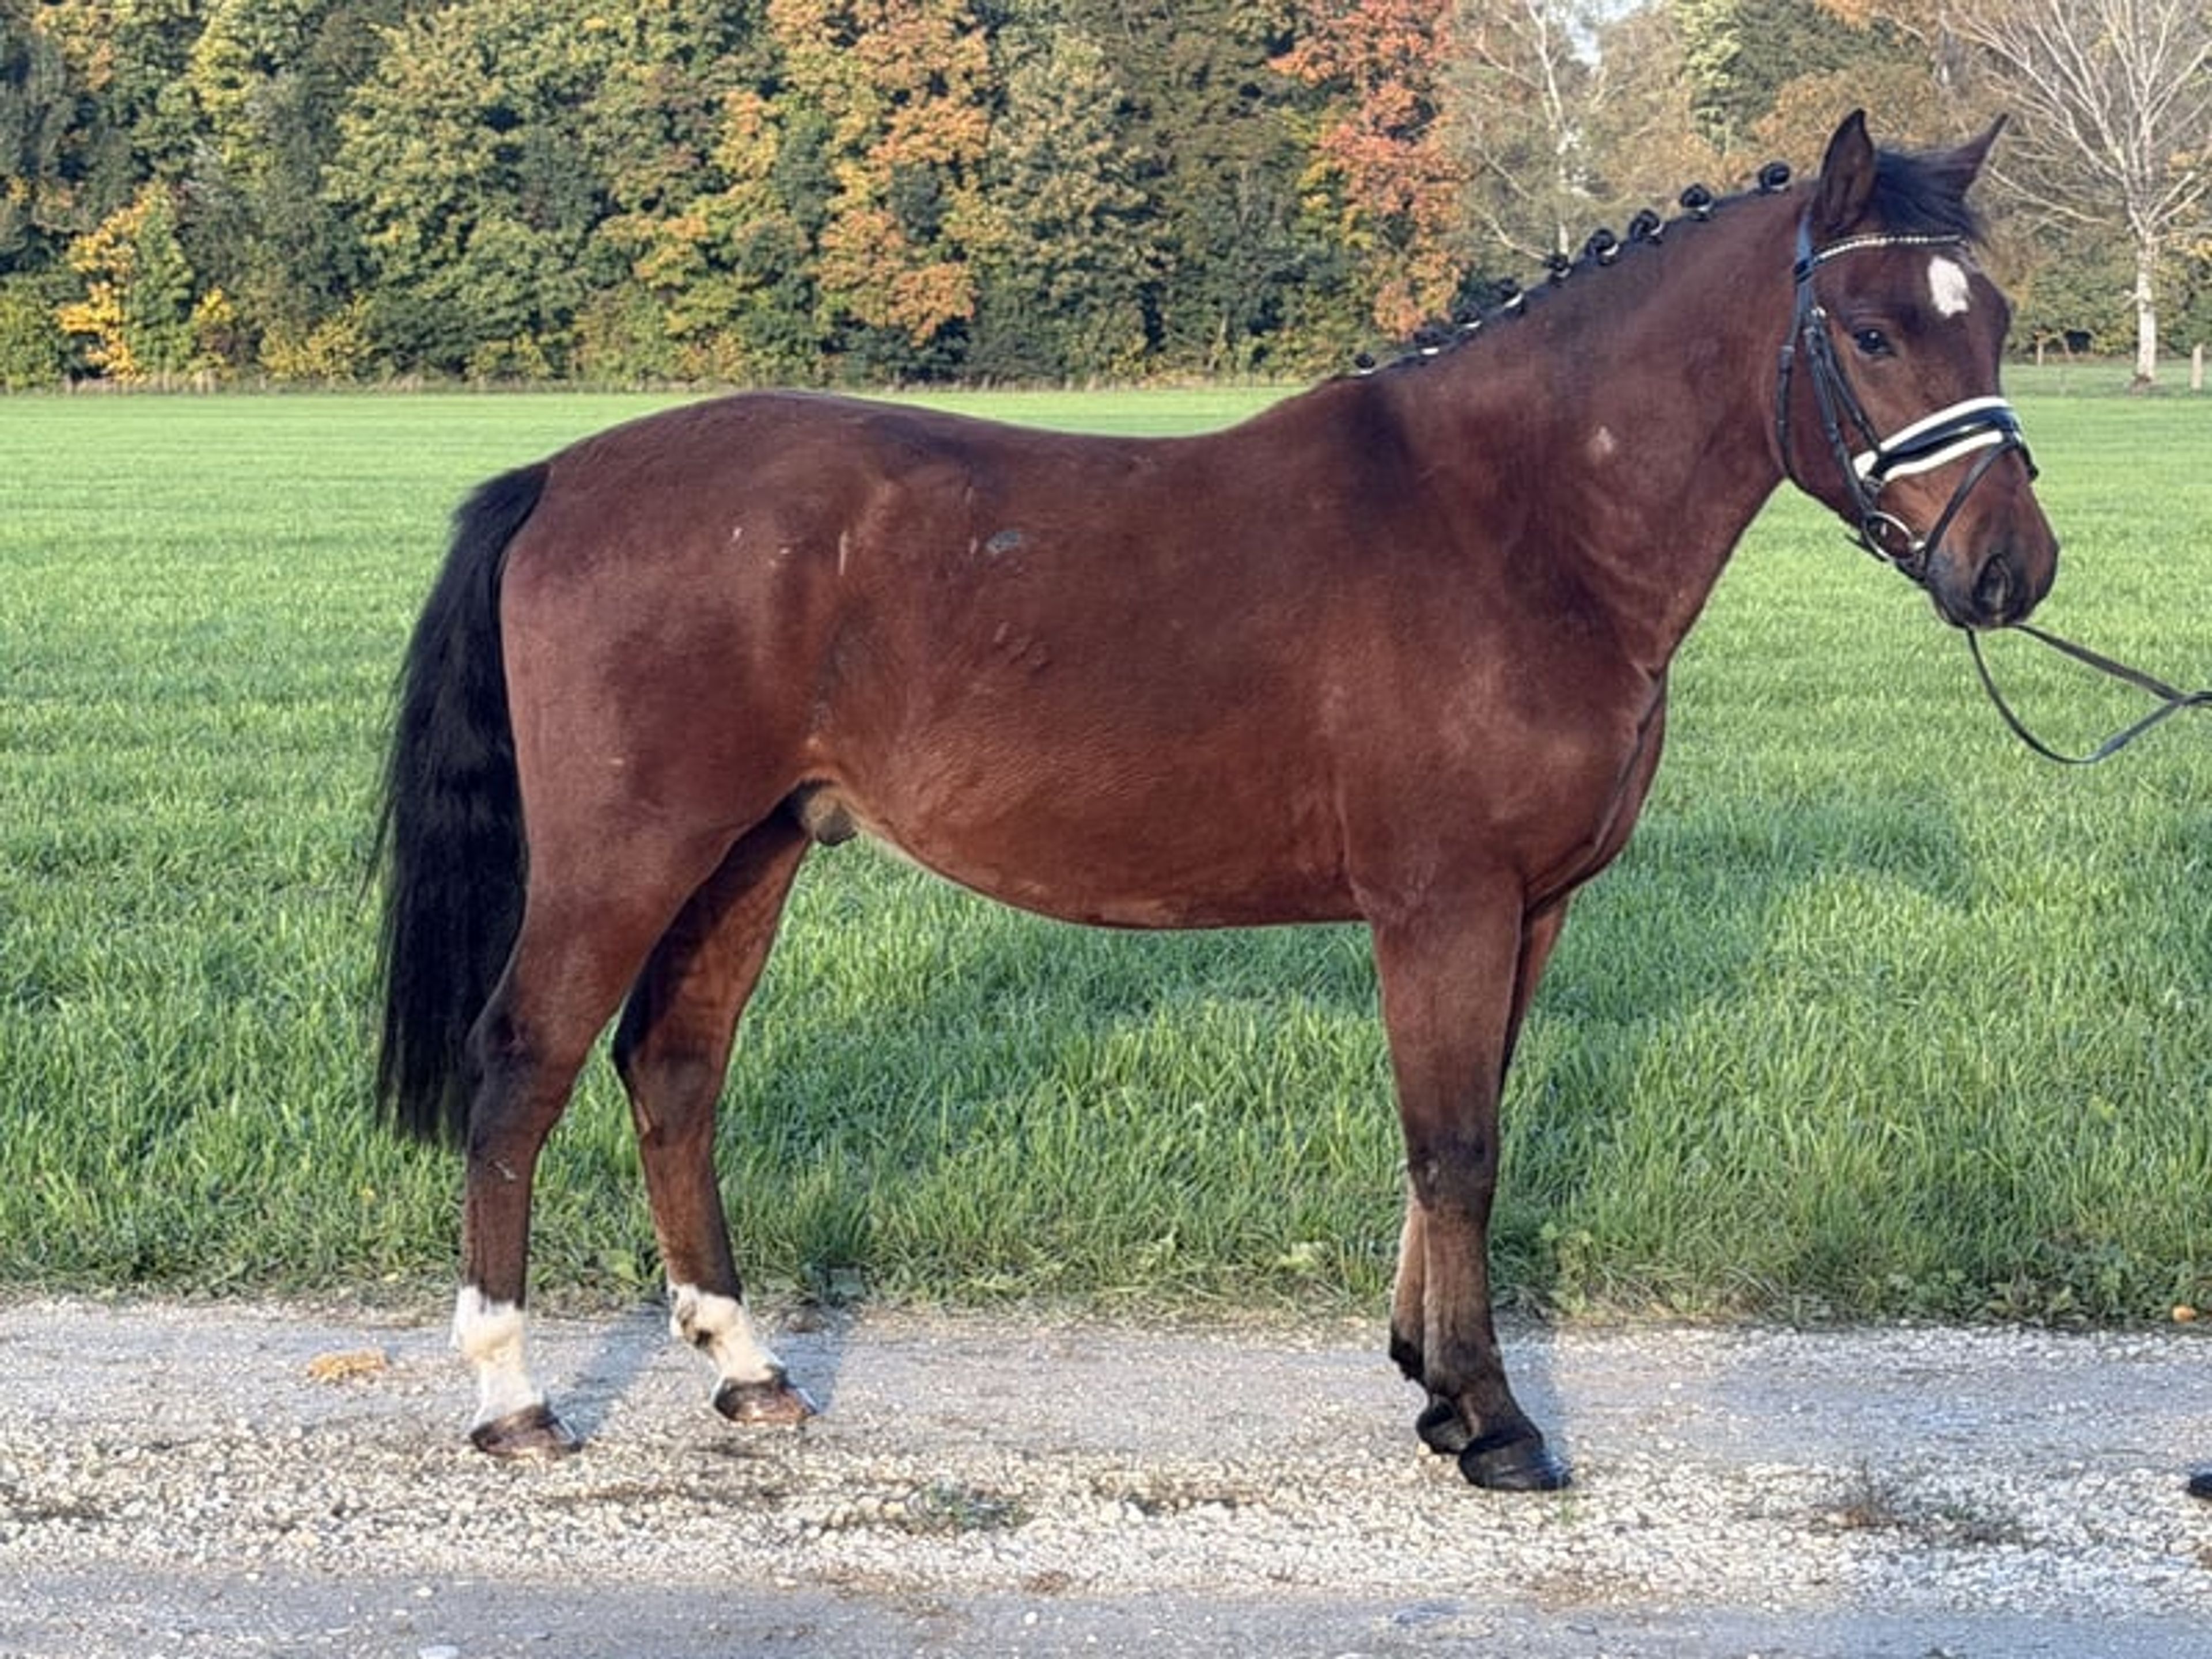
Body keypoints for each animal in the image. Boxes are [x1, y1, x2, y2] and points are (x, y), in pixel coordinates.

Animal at [375, 111, 2057, 1490]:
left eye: (1995, 320)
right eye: (1870, 327)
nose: (2011, 568)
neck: (1515, 523)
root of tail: (562, 477)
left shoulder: (1528, 909)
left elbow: (1463, 1131)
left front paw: (1430, 1383)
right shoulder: (1443, 901)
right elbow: (1456, 1144)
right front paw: (1492, 1422)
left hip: (751, 850)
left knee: (673, 1071)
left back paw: (749, 1368)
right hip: (625, 856)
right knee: (521, 1070)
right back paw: (510, 1399)